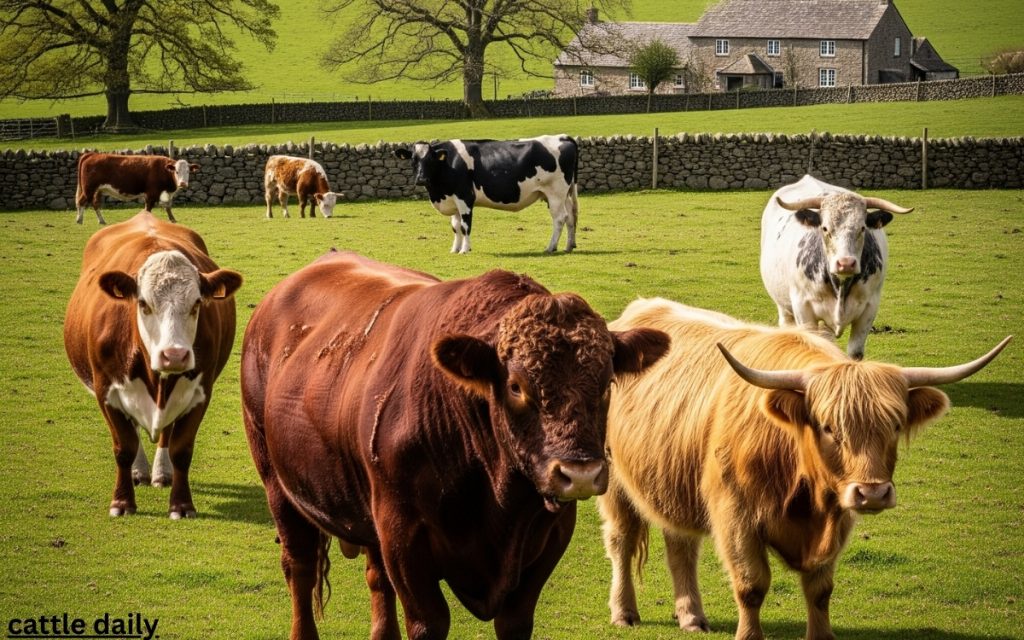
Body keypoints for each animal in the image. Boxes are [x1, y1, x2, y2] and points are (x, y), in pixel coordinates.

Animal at [64, 211, 242, 518]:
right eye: (144, 304)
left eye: (197, 303)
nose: (174, 355)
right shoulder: (106, 391)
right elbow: (123, 447)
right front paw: (122, 502)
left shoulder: (200, 392)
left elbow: (182, 450)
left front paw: (181, 505)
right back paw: (139, 472)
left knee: (166, 433)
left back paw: (161, 472)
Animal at [240, 251, 669, 640]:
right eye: (515, 386)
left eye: (606, 383)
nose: (579, 473)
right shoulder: (404, 536)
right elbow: (429, 623)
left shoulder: (552, 534)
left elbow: (514, 622)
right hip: (279, 485)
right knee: (299, 566)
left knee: (375, 577)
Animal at [393, 135, 579, 254]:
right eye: (413, 160)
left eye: (431, 160)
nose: (421, 179)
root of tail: (564, 137)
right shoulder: (453, 201)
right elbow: (455, 226)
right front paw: (454, 249)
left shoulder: (465, 198)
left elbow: (465, 226)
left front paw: (465, 250)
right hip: (565, 194)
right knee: (570, 217)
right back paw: (568, 246)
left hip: (555, 193)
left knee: (560, 218)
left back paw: (551, 247)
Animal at [598, 297, 1010, 640]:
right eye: (828, 427)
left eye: (894, 425)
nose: (873, 493)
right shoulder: (735, 516)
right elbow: (751, 585)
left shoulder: (837, 519)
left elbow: (820, 590)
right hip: (614, 483)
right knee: (621, 541)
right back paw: (624, 612)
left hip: (672, 480)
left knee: (680, 546)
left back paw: (692, 618)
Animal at [761, 174, 914, 360]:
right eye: (825, 228)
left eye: (862, 228)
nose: (845, 263)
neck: (840, 286)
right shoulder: (803, 309)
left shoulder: (869, 309)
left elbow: (854, 353)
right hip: (784, 307)